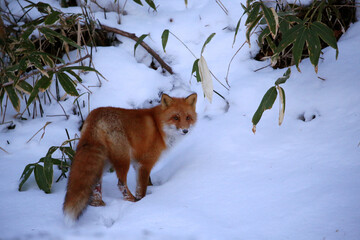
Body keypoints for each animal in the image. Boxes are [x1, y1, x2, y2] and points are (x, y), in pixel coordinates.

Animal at [62, 93, 197, 223]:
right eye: (175, 117)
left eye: (188, 117)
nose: (185, 130)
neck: (159, 127)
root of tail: (95, 115)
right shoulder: (145, 162)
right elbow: (141, 188)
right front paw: (142, 201)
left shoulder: (137, 163)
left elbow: (147, 182)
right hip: (123, 159)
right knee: (121, 183)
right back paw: (132, 200)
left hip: (104, 162)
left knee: (96, 185)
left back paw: (99, 205)